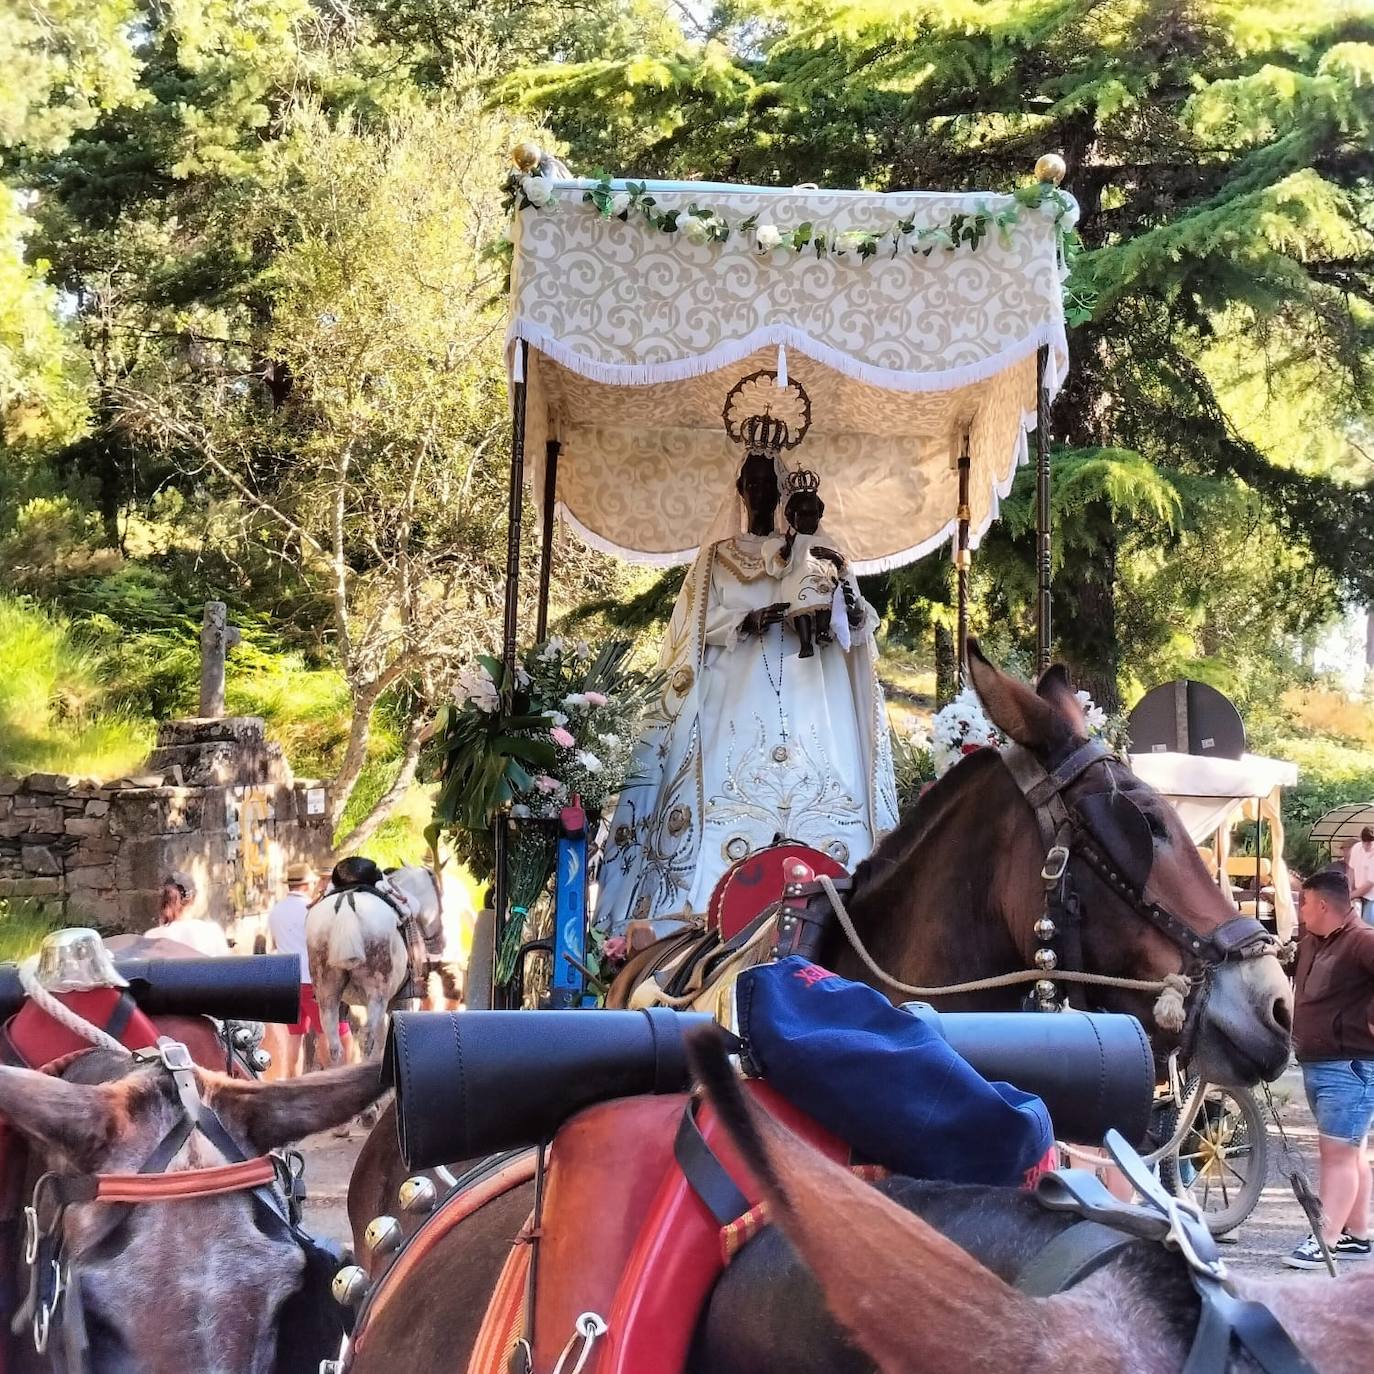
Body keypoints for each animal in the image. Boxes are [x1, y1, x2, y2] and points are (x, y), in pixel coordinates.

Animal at [307, 868, 445, 1060]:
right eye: (441, 902)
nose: (440, 944)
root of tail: (346, 903)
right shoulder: (402, 1000)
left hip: (327, 994)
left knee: (334, 1044)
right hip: (377, 994)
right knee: (366, 1038)